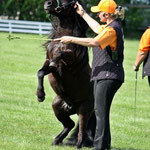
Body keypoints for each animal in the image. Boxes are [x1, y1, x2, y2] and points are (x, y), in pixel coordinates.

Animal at [35, 0, 95, 148]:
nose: (48, 3)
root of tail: (71, 107)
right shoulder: (49, 64)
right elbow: (41, 72)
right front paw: (40, 95)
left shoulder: (69, 61)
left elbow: (62, 54)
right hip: (57, 107)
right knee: (70, 124)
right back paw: (56, 141)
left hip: (84, 110)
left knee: (81, 130)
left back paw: (77, 145)